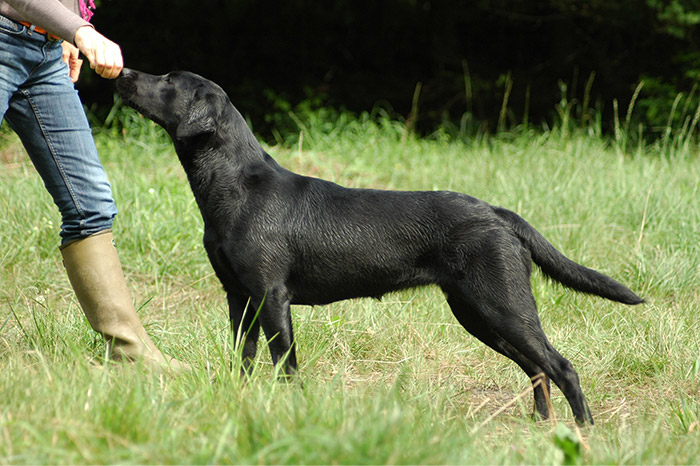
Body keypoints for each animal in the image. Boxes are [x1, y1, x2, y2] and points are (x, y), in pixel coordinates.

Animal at [116, 69, 644, 426]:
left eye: (168, 80)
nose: (122, 73)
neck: (234, 189)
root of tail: (498, 212)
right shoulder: (238, 297)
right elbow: (243, 361)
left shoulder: (272, 295)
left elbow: (285, 364)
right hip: (476, 312)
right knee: (537, 368)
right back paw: (543, 426)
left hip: (502, 305)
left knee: (562, 366)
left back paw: (584, 432)